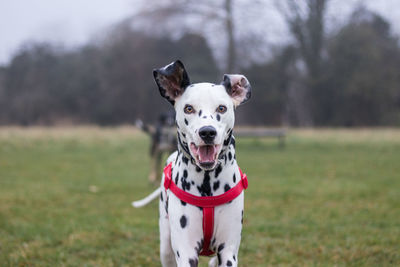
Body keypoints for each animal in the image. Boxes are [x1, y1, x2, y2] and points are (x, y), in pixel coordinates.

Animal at [133, 60, 252, 267]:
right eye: (189, 108)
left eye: (222, 108)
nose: (207, 132)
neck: (207, 182)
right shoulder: (186, 251)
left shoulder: (228, 251)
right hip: (166, 247)